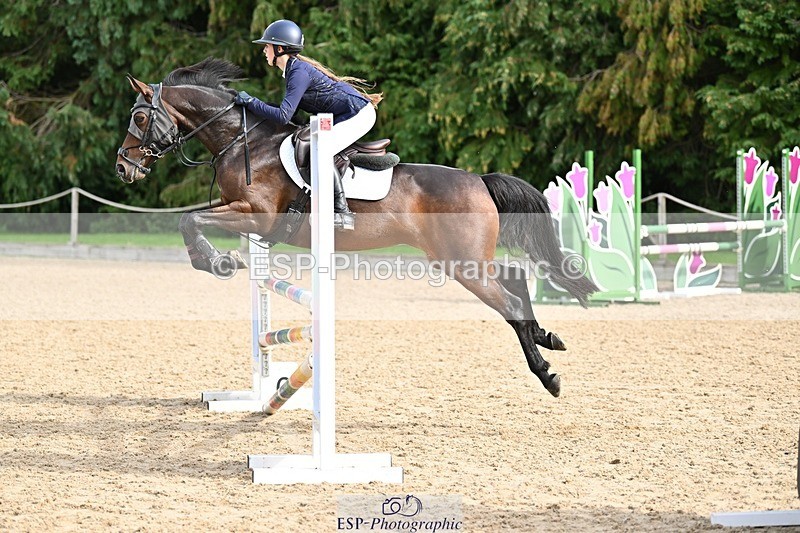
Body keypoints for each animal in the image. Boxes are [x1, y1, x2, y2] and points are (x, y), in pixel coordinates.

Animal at [114, 57, 598, 397]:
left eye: (140, 117)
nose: (123, 168)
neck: (242, 141)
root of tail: (479, 179)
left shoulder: (255, 213)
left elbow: (189, 218)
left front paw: (216, 261)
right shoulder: (245, 213)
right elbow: (193, 217)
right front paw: (219, 260)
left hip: (462, 263)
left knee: (508, 300)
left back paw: (547, 375)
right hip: (464, 259)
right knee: (515, 279)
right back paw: (547, 338)